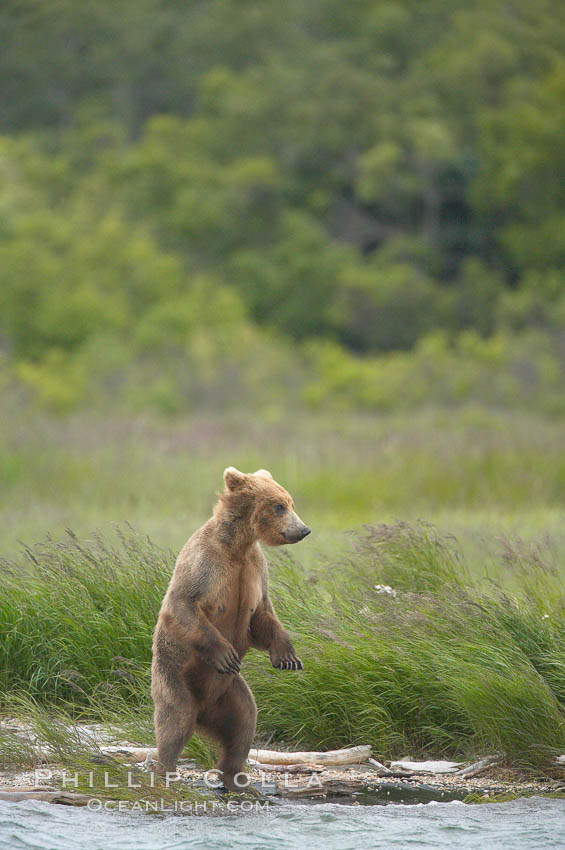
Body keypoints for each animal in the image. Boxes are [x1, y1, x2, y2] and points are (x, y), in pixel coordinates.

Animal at [150, 464, 308, 788]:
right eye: (279, 506)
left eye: (290, 502)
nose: (303, 530)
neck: (237, 546)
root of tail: (203, 712)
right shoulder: (205, 566)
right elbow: (182, 607)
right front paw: (225, 654)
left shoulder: (255, 571)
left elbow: (262, 616)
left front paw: (288, 657)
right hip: (174, 679)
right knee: (175, 723)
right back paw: (166, 770)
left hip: (231, 693)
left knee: (243, 724)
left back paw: (236, 777)